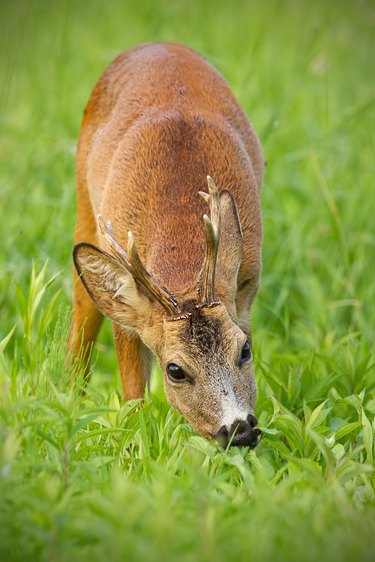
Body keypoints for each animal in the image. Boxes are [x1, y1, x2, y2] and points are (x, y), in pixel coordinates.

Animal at [70, 41, 264, 446]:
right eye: (175, 370)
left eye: (244, 350)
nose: (239, 430)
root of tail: (156, 45)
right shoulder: (130, 317)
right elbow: (133, 397)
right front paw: (133, 446)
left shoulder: (247, 288)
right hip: (84, 207)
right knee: (83, 316)